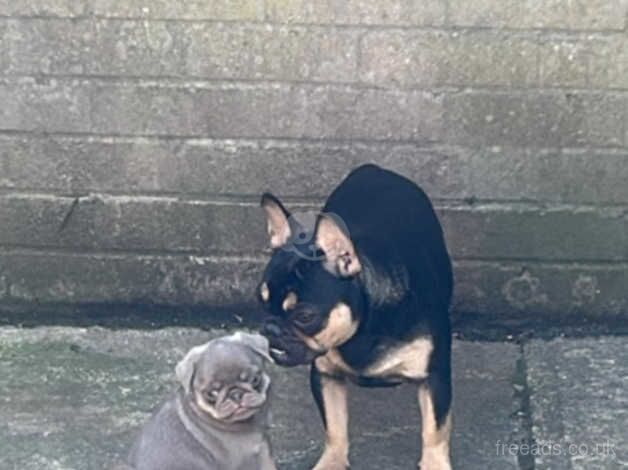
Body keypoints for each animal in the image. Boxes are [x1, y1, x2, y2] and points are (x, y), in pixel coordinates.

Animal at [258, 164, 454, 470]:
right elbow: (334, 426)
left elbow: (435, 430)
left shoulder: (434, 378)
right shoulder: (326, 376)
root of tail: (374, 168)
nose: (270, 328)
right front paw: (332, 462)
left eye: (304, 316)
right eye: (261, 300)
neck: (362, 331)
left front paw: (434, 464)